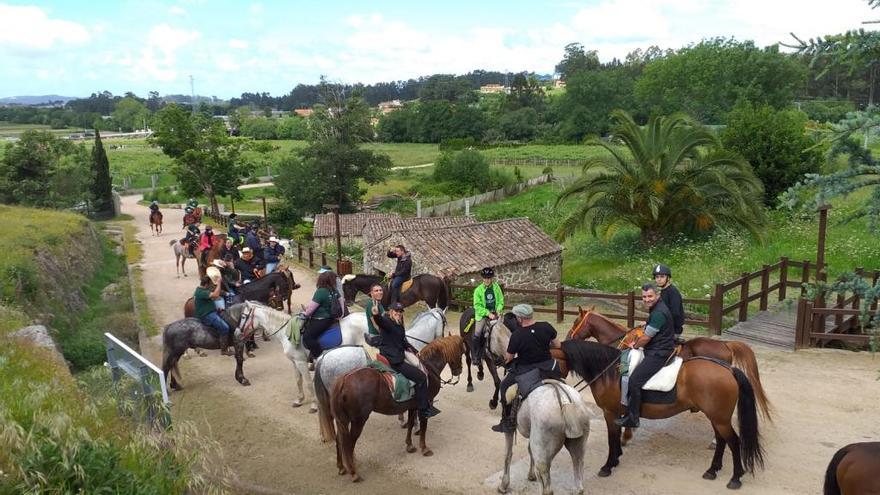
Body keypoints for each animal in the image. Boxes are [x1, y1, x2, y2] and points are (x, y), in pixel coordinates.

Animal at [328, 336, 468, 482]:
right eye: (462, 352)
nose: (458, 371)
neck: (429, 368)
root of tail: (344, 379)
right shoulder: (425, 405)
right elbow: (423, 427)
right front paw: (424, 448)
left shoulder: (413, 406)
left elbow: (411, 424)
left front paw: (410, 446)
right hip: (358, 420)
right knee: (349, 443)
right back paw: (354, 473)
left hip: (343, 420)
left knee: (339, 440)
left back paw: (341, 467)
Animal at [564, 340, 764, 490]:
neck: (610, 372)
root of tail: (728, 369)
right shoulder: (617, 413)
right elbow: (616, 437)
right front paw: (617, 457)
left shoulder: (609, 413)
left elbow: (611, 439)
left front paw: (608, 465)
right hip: (716, 418)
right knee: (721, 440)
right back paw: (712, 470)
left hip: (720, 419)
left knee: (734, 442)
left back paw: (735, 478)